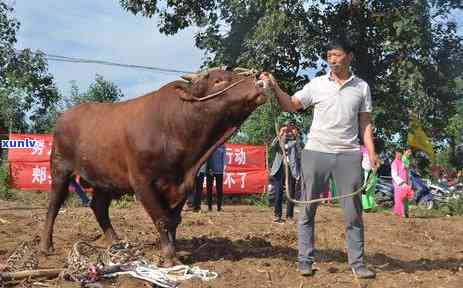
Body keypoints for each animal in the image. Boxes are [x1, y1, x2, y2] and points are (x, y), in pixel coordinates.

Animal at [42, 67, 272, 266]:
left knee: (99, 207)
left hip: (104, 179)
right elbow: (162, 219)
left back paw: (116, 243)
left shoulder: (184, 184)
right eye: (218, 81)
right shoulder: (142, 182)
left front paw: (173, 250)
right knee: (54, 205)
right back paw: (46, 246)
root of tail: (65, 116)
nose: (259, 81)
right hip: (60, 169)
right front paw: (169, 257)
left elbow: (174, 219)